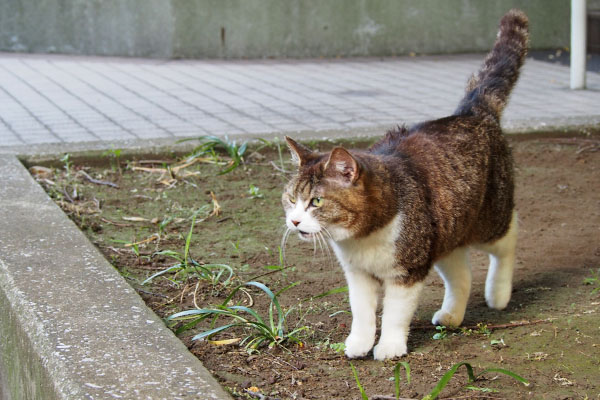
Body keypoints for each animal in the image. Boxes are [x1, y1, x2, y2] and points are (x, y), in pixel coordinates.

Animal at [280, 8, 524, 360]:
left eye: (316, 201)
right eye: (290, 199)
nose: (295, 221)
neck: (362, 240)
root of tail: (473, 112)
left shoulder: (407, 271)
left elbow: (395, 314)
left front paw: (390, 348)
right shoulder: (359, 275)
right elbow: (362, 312)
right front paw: (359, 343)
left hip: (490, 219)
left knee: (510, 236)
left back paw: (499, 294)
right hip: (445, 233)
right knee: (461, 273)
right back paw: (452, 315)